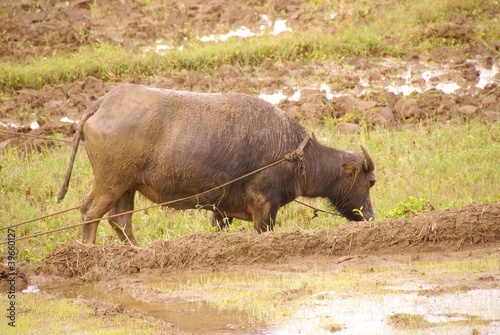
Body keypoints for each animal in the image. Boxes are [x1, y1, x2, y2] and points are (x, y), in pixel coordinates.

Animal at [57, 84, 376, 245]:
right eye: (370, 182)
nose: (370, 217)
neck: (293, 155)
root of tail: (104, 103)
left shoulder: (222, 209)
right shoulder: (264, 205)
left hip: (127, 186)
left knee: (120, 221)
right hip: (110, 182)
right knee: (90, 212)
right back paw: (89, 252)